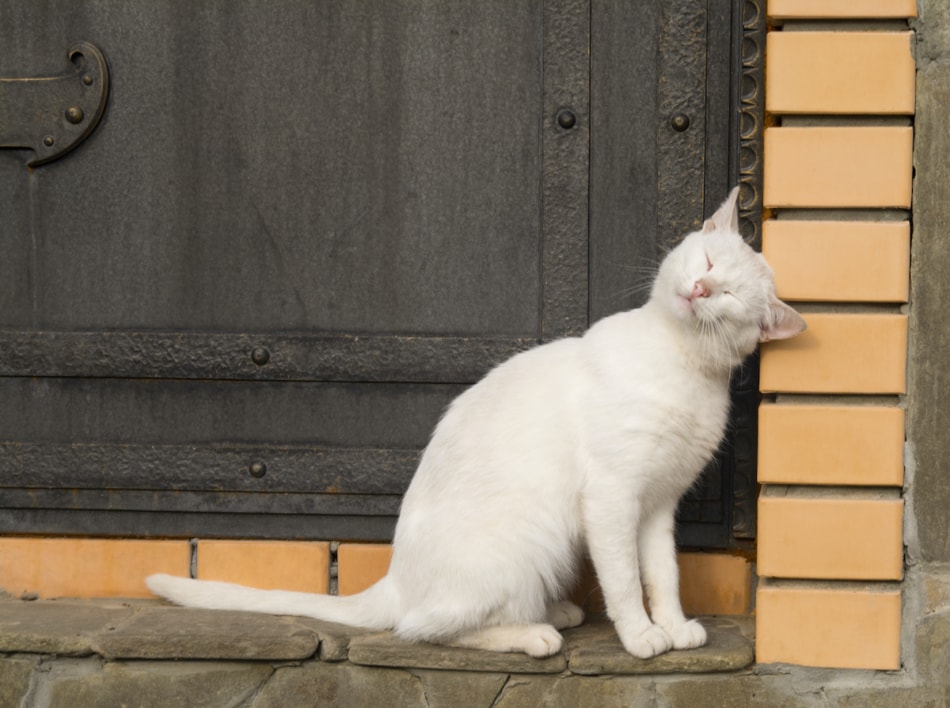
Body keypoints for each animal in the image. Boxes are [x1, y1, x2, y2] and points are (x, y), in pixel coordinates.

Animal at [149, 188, 804, 660]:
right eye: (708, 261)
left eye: (728, 296)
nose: (700, 289)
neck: (681, 361)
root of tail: (396, 578)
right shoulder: (614, 498)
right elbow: (623, 580)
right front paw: (642, 635)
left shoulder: (657, 506)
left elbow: (662, 574)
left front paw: (673, 625)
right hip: (529, 541)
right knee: (423, 629)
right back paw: (535, 634)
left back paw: (552, 613)